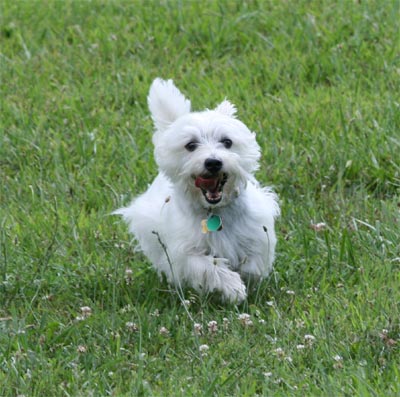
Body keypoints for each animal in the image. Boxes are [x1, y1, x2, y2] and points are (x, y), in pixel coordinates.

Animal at [114, 79, 280, 302]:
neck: (215, 212)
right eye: (190, 145)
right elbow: (209, 266)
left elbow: (254, 262)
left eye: (227, 142)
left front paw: (248, 278)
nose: (213, 162)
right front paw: (233, 288)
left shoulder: (257, 231)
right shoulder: (184, 252)